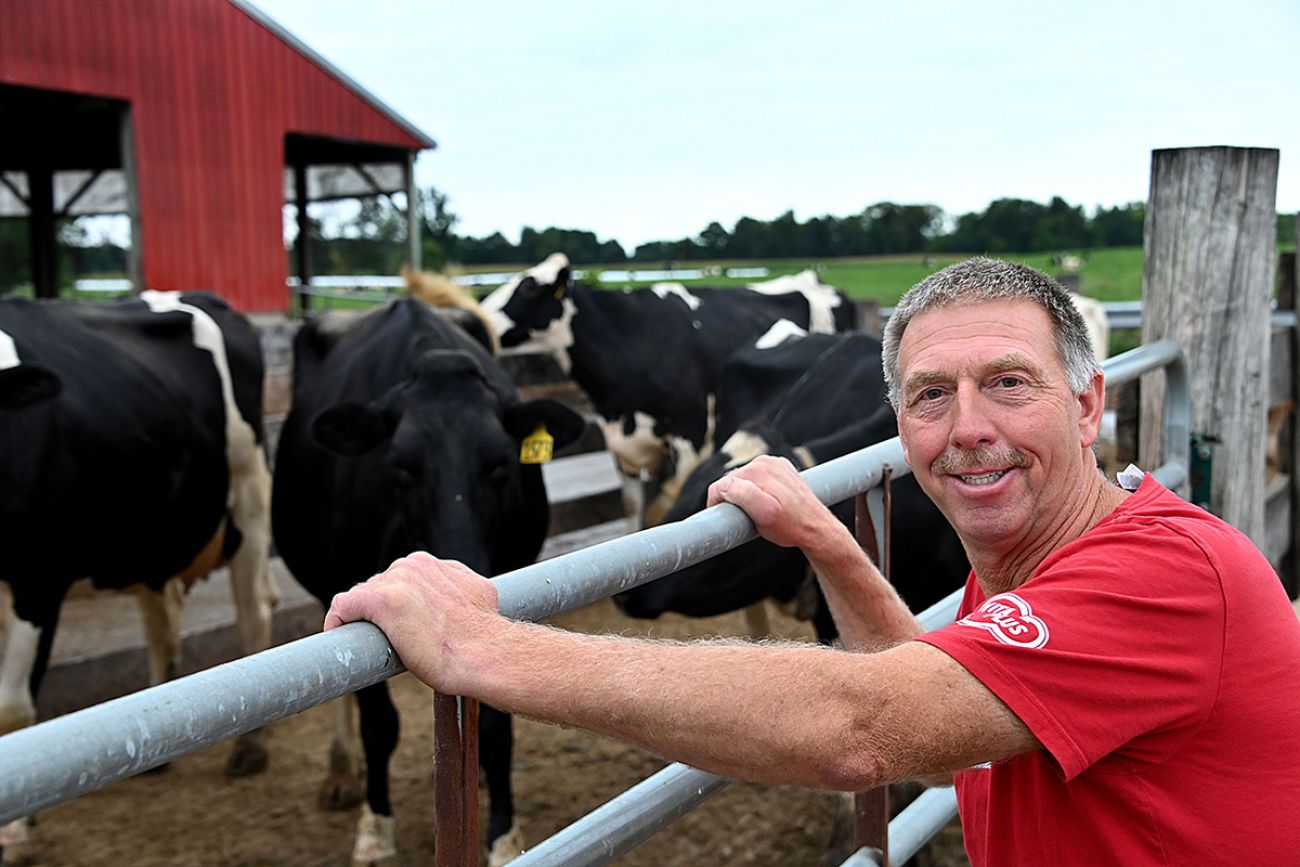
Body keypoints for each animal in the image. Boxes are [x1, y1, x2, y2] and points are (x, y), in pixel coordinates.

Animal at [0, 291, 279, 852]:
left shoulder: (36, 577)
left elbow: (13, 712)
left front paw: (16, 834)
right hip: (153, 533)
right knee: (161, 624)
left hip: (248, 495)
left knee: (253, 614)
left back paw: (249, 746)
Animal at [271, 295, 587, 863]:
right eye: (399, 466)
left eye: (501, 464)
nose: (461, 563)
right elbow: (378, 723)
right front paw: (376, 827)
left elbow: (496, 721)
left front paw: (503, 836)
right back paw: (341, 773)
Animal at [483, 256, 857, 530]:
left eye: (528, 287)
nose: (479, 319)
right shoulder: (622, 447)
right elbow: (634, 512)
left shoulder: (689, 437)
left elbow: (664, 508)